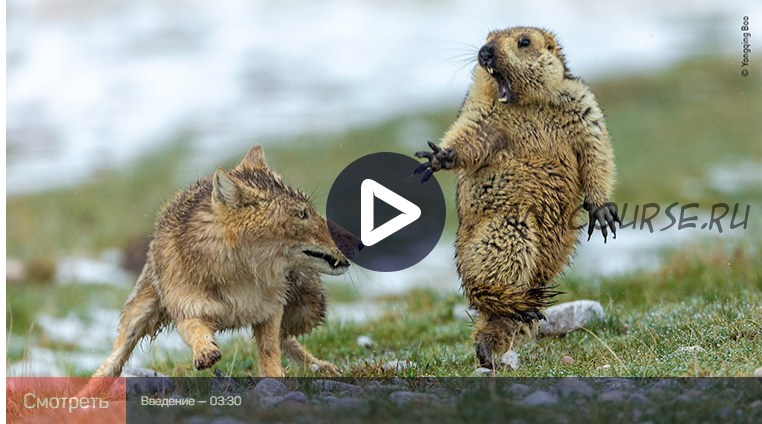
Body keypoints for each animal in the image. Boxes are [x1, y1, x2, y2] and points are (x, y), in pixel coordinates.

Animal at [91, 145, 360, 378]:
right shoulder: (187, 310)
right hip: (139, 313)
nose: (359, 243)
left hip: (308, 309)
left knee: (286, 338)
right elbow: (196, 331)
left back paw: (321, 367)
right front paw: (204, 351)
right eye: (301, 214)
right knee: (115, 358)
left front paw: (274, 377)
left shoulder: (271, 309)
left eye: (309, 210)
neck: (237, 277)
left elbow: (270, 348)